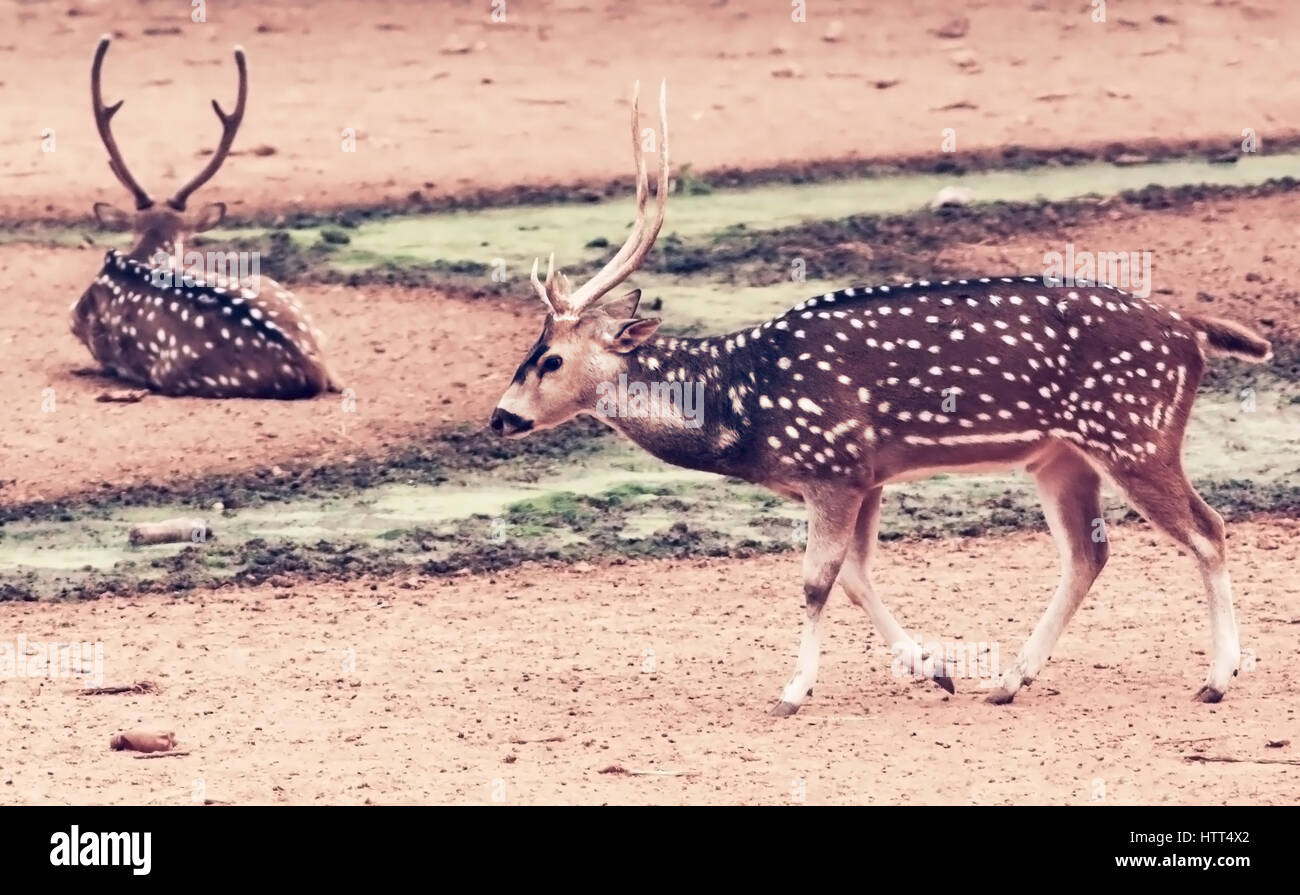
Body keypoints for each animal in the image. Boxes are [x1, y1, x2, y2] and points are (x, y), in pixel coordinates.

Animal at [491, 82, 1274, 712]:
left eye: (550, 357)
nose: (500, 416)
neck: (748, 409)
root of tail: (1191, 331)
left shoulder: (832, 465)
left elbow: (816, 581)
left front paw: (792, 691)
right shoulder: (867, 474)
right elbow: (857, 578)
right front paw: (936, 669)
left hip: (1136, 431)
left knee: (1208, 528)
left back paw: (1216, 678)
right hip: (1062, 455)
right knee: (1089, 552)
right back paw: (1008, 680)